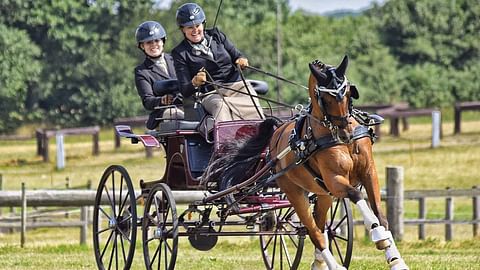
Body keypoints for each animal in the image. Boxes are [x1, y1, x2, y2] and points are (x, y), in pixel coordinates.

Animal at [208, 55, 406, 270]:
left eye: (347, 93)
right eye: (325, 99)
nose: (345, 133)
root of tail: (276, 133)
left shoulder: (369, 172)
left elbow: (381, 215)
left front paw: (395, 259)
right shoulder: (335, 180)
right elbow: (357, 196)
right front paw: (379, 236)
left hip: (323, 194)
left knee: (321, 227)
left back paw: (320, 262)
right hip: (295, 193)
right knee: (314, 232)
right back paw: (334, 266)